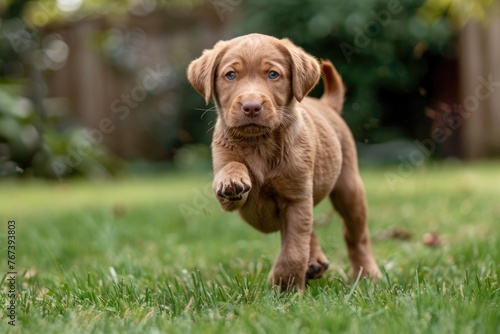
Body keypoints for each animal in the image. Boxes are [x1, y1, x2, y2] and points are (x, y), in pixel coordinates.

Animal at [188, 32, 378, 290]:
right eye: (230, 75)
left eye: (273, 74)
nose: (251, 107)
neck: (260, 143)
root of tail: (326, 105)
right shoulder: (230, 194)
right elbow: (232, 166)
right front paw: (232, 179)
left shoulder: (297, 198)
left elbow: (294, 249)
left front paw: (286, 286)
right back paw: (315, 261)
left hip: (349, 189)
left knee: (355, 236)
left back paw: (368, 273)